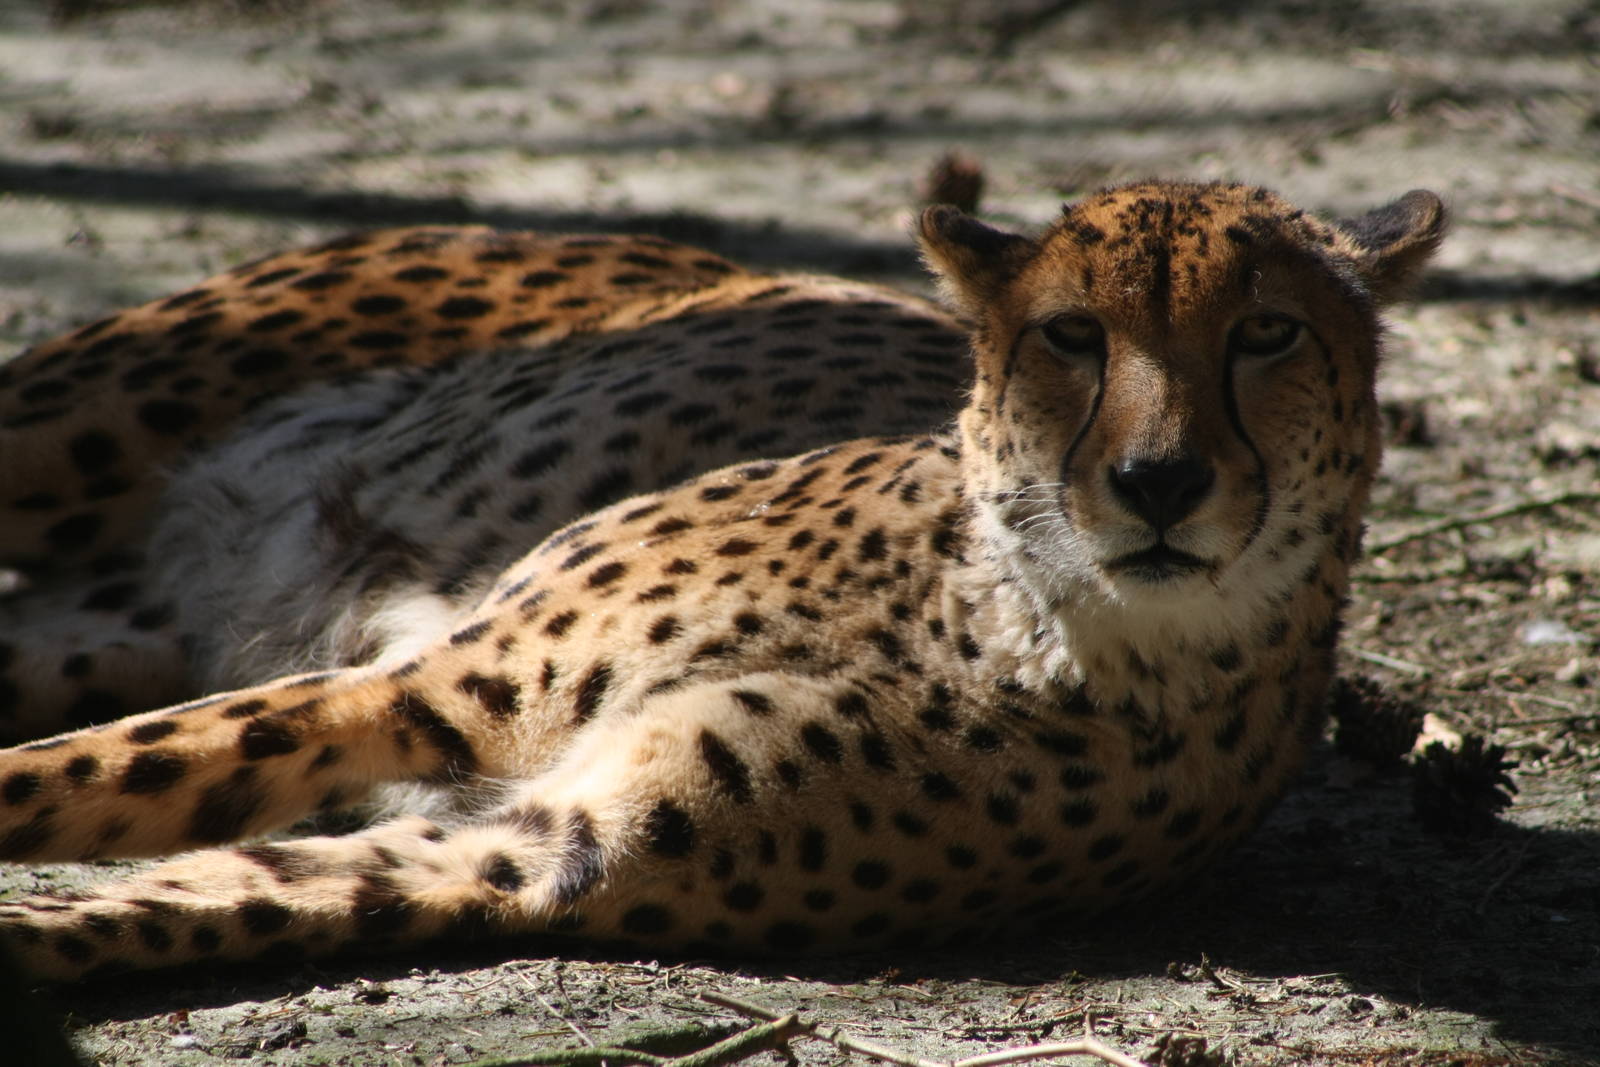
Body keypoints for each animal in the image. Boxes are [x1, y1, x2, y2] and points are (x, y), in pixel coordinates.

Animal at [0, 181, 1444, 980]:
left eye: (1267, 333)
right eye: (1071, 335)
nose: (1158, 481)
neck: (1015, 617)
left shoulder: (537, 843)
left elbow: (178, 892)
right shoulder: (433, 681)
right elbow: (77, 773)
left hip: (127, 614)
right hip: (79, 420)